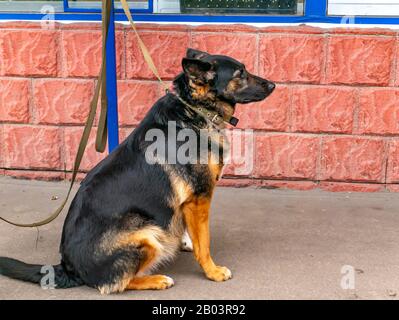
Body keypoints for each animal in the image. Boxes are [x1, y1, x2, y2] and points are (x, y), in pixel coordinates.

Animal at [0, 48, 276, 294]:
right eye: (240, 73)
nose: (273, 85)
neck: (193, 108)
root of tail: (68, 267)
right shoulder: (200, 198)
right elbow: (204, 243)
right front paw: (213, 271)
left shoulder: (189, 202)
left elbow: (191, 231)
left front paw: (186, 240)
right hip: (148, 233)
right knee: (115, 285)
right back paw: (158, 280)